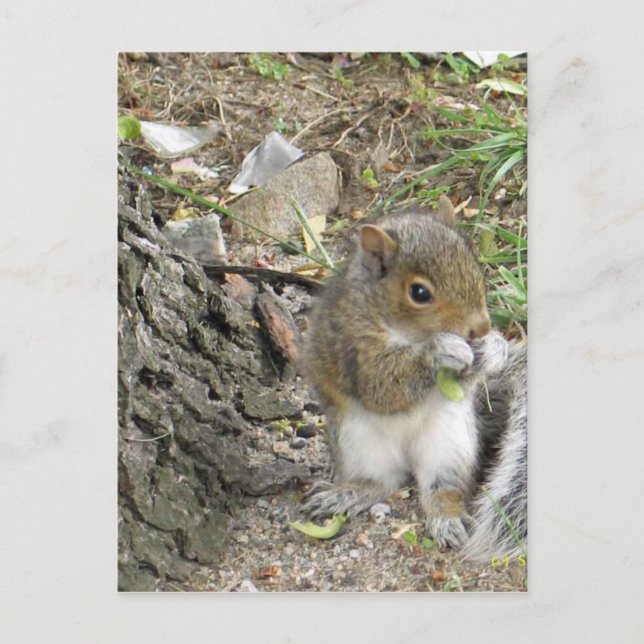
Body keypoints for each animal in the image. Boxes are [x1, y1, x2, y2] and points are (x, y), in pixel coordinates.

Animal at [302, 195, 527, 563]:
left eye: (475, 268)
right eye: (420, 293)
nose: (480, 328)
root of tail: (408, 460)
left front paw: (495, 347)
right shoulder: (352, 346)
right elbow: (382, 386)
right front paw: (441, 351)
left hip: (452, 444)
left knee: (443, 489)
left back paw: (447, 520)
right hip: (356, 442)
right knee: (380, 483)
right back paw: (347, 494)